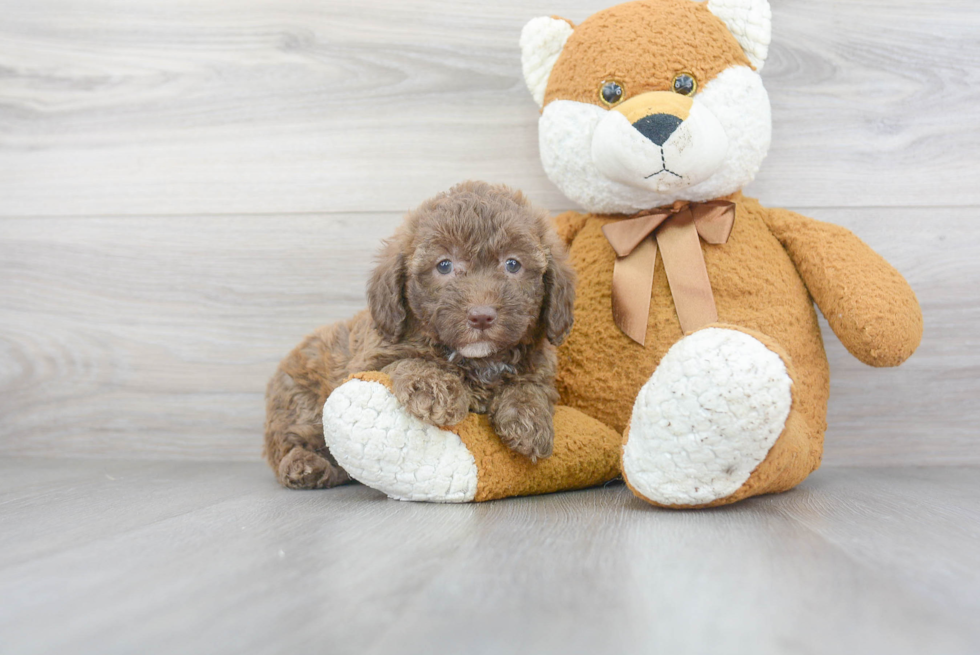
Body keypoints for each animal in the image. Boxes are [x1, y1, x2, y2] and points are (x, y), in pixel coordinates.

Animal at [264, 182, 580, 490]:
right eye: (444, 265)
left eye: (512, 264)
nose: (481, 316)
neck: (477, 360)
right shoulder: (370, 361)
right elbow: (411, 362)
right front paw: (436, 389)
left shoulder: (540, 366)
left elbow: (530, 386)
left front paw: (529, 421)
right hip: (299, 403)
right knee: (290, 441)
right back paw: (305, 466)